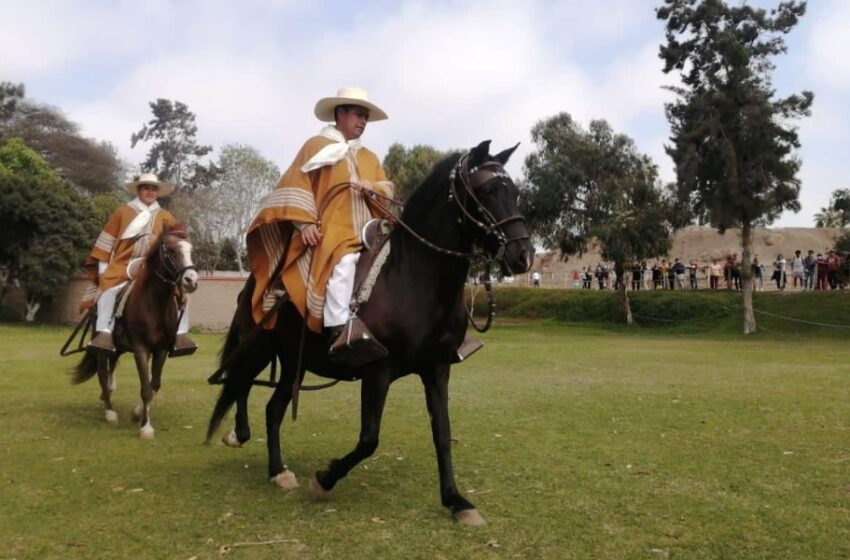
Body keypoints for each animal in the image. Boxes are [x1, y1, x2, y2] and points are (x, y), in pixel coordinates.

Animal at [72, 223, 198, 438]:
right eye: (172, 250)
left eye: (191, 250)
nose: (191, 280)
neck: (154, 304)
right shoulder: (141, 349)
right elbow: (146, 388)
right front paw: (146, 427)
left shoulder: (161, 350)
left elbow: (153, 384)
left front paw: (138, 412)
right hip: (103, 346)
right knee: (102, 374)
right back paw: (109, 412)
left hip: (118, 348)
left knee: (111, 370)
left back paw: (105, 400)